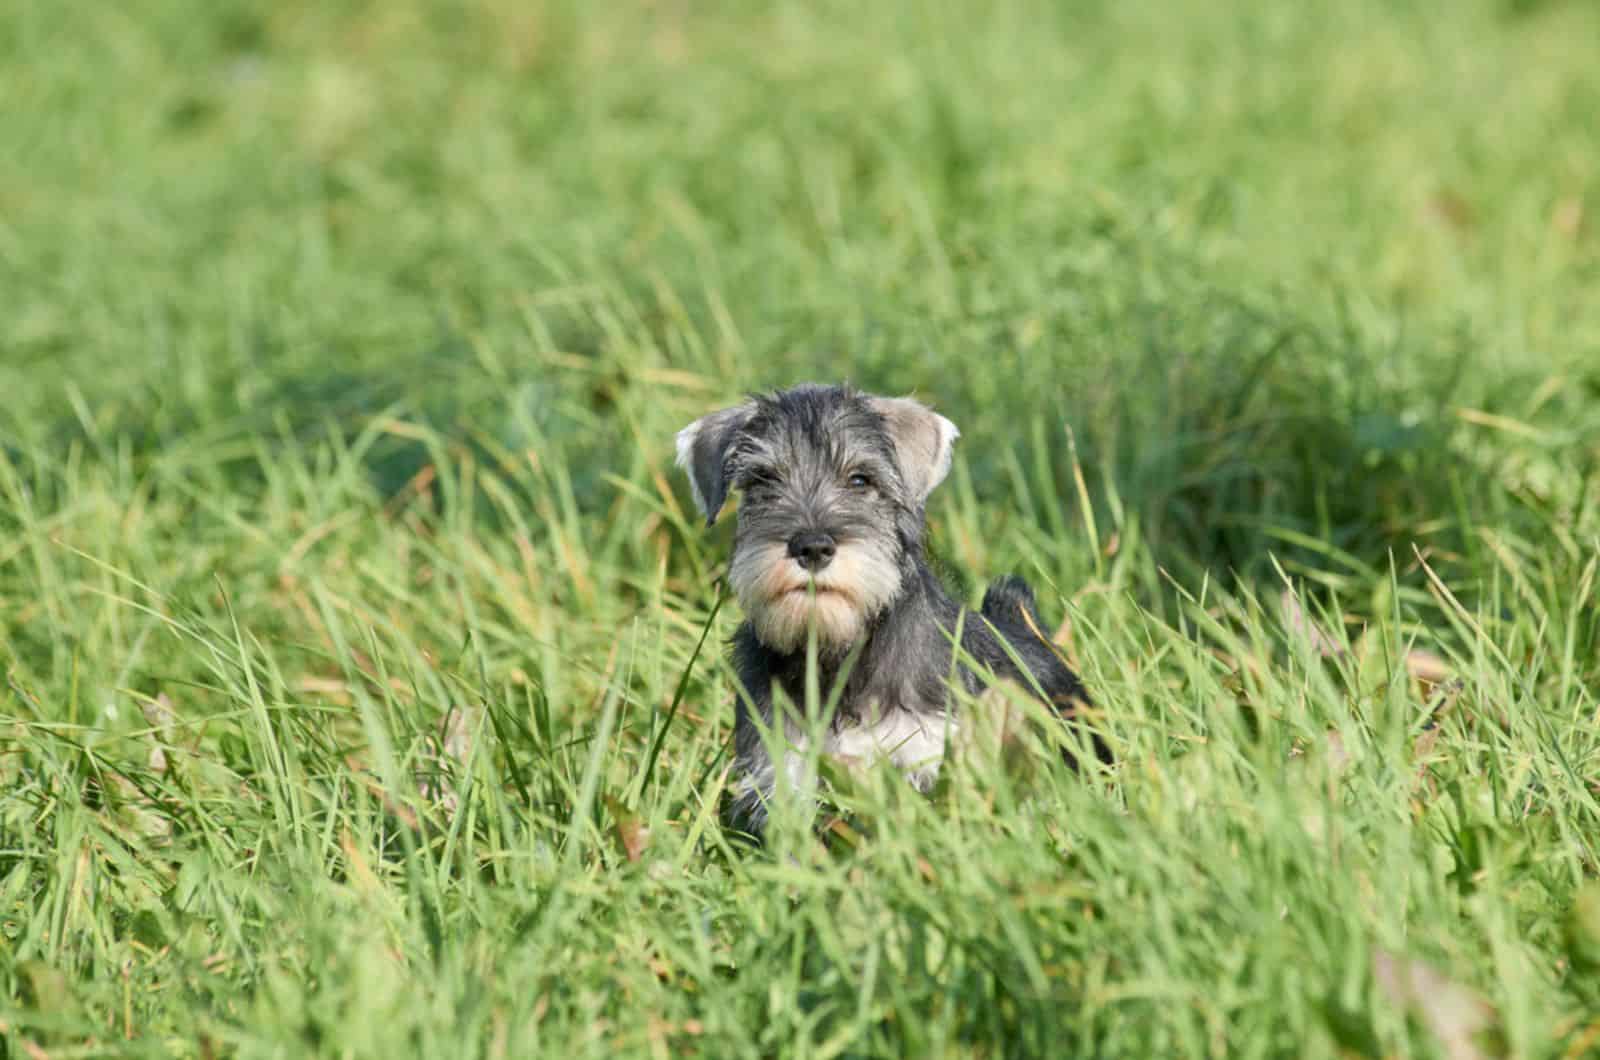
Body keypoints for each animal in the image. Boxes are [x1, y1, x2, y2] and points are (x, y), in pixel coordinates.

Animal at [672, 382, 1100, 839]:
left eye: (860, 479)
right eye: (763, 480)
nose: (812, 546)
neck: (840, 653)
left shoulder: (927, 758)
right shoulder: (783, 774)